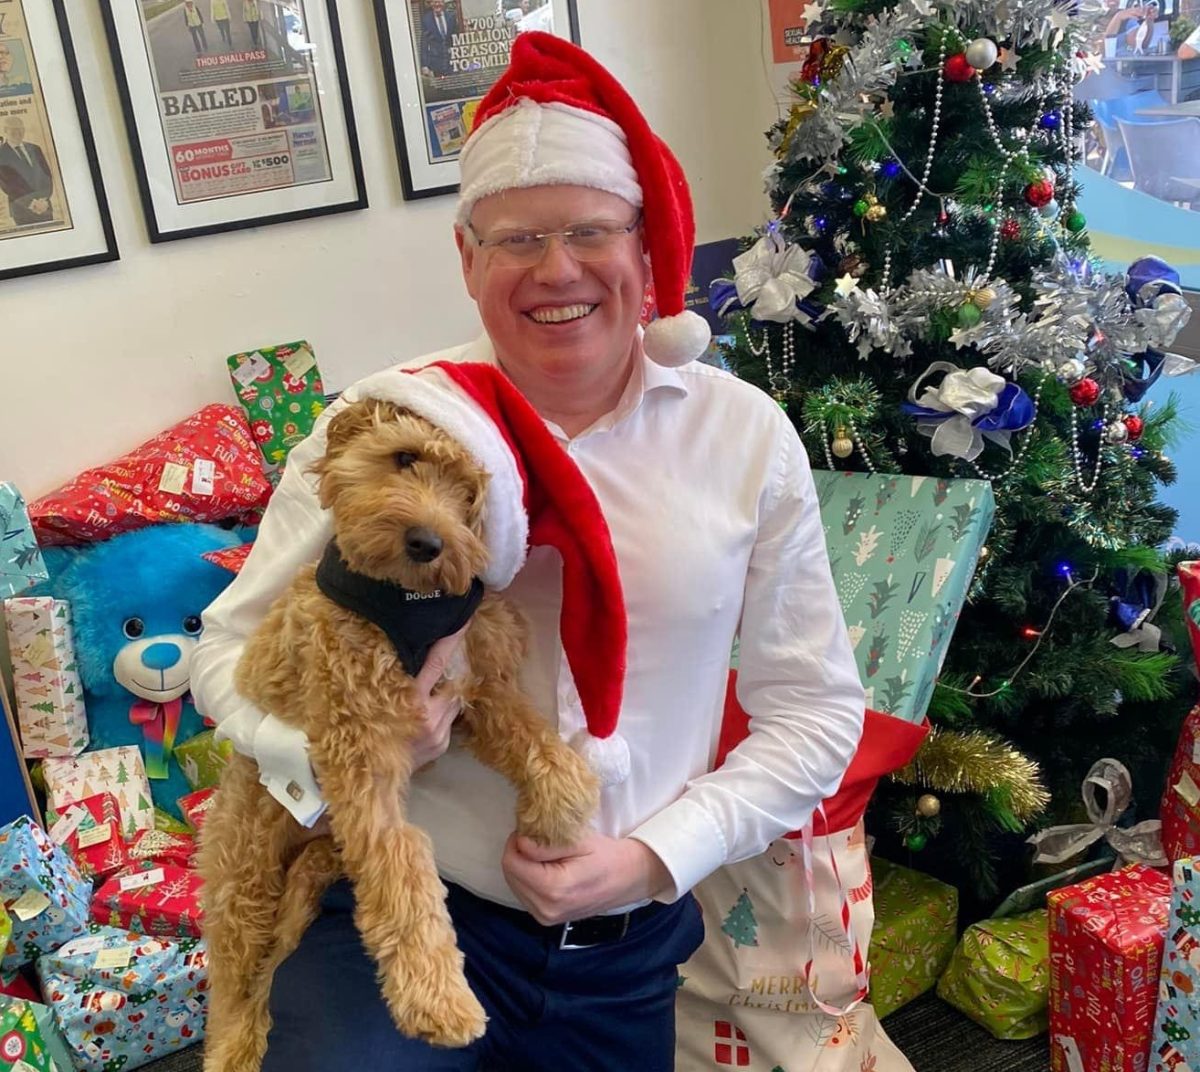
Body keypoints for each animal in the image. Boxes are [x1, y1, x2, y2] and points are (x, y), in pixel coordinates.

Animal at [200, 398, 604, 1070]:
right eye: (404, 456)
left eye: (470, 491)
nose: (427, 542)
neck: (408, 606)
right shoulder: (362, 755)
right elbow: (403, 864)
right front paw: (437, 999)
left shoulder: (475, 693)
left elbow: (537, 740)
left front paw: (561, 805)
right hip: (245, 871)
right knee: (233, 983)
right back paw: (233, 1048)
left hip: (312, 871)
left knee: (273, 961)